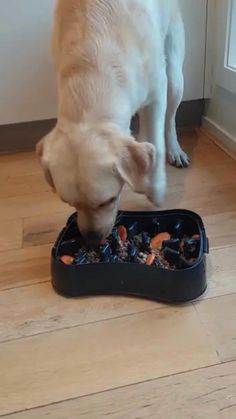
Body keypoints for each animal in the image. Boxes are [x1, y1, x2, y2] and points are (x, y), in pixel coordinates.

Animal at [37, 0, 190, 244]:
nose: (92, 239)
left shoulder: (157, 92)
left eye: (108, 200)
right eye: (69, 203)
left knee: (169, 120)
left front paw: (155, 190)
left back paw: (174, 150)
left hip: (175, 76)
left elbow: (157, 141)